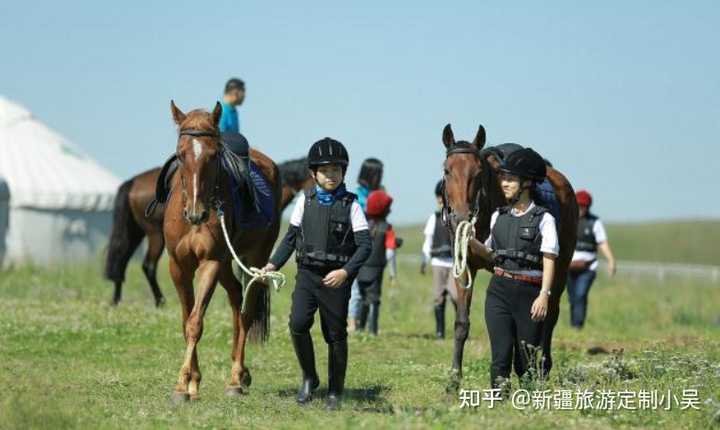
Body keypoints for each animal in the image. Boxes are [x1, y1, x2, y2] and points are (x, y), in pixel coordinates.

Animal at [103, 153, 312, 308]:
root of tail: (133, 181)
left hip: (136, 233)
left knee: (120, 261)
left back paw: (116, 300)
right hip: (155, 235)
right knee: (148, 265)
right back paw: (159, 301)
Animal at [165, 101, 282, 400]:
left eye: (214, 155)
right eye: (180, 155)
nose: (197, 214)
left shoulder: (210, 263)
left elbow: (195, 322)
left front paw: (182, 384)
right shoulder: (178, 266)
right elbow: (186, 320)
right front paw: (192, 383)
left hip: (253, 260)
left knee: (246, 311)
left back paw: (236, 379)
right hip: (228, 263)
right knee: (235, 297)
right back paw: (240, 373)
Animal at [438, 122, 580, 392]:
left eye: (478, 173)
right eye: (447, 170)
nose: (460, 217)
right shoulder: (465, 269)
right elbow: (462, 324)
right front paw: (453, 381)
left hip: (560, 269)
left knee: (550, 315)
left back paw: (542, 368)